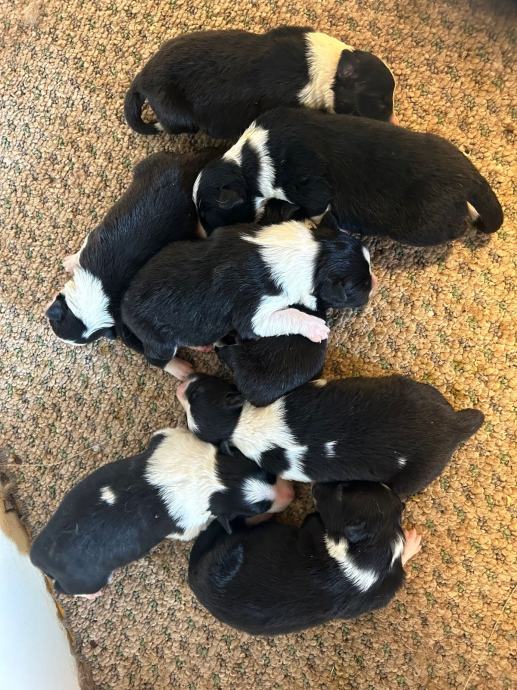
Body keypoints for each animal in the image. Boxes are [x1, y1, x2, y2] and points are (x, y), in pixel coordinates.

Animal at [30, 427, 294, 598]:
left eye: (269, 474)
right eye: (260, 506)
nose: (292, 495)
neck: (214, 479)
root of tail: (37, 557)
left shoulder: (167, 438)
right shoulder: (188, 527)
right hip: (88, 579)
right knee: (67, 589)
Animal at [45, 148, 222, 378]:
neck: (99, 287)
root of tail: (190, 164)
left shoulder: (125, 326)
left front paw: (178, 367)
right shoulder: (94, 239)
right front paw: (70, 262)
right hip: (153, 163)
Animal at [121, 219, 374, 377]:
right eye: (361, 287)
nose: (376, 282)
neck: (313, 256)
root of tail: (123, 308)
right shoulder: (253, 316)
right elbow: (290, 314)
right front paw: (316, 327)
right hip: (159, 340)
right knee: (156, 357)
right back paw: (181, 369)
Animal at [193, 107, 503, 244]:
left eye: (209, 213)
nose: (206, 236)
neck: (251, 161)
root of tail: (469, 176)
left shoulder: (311, 188)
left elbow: (315, 208)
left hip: (424, 226)